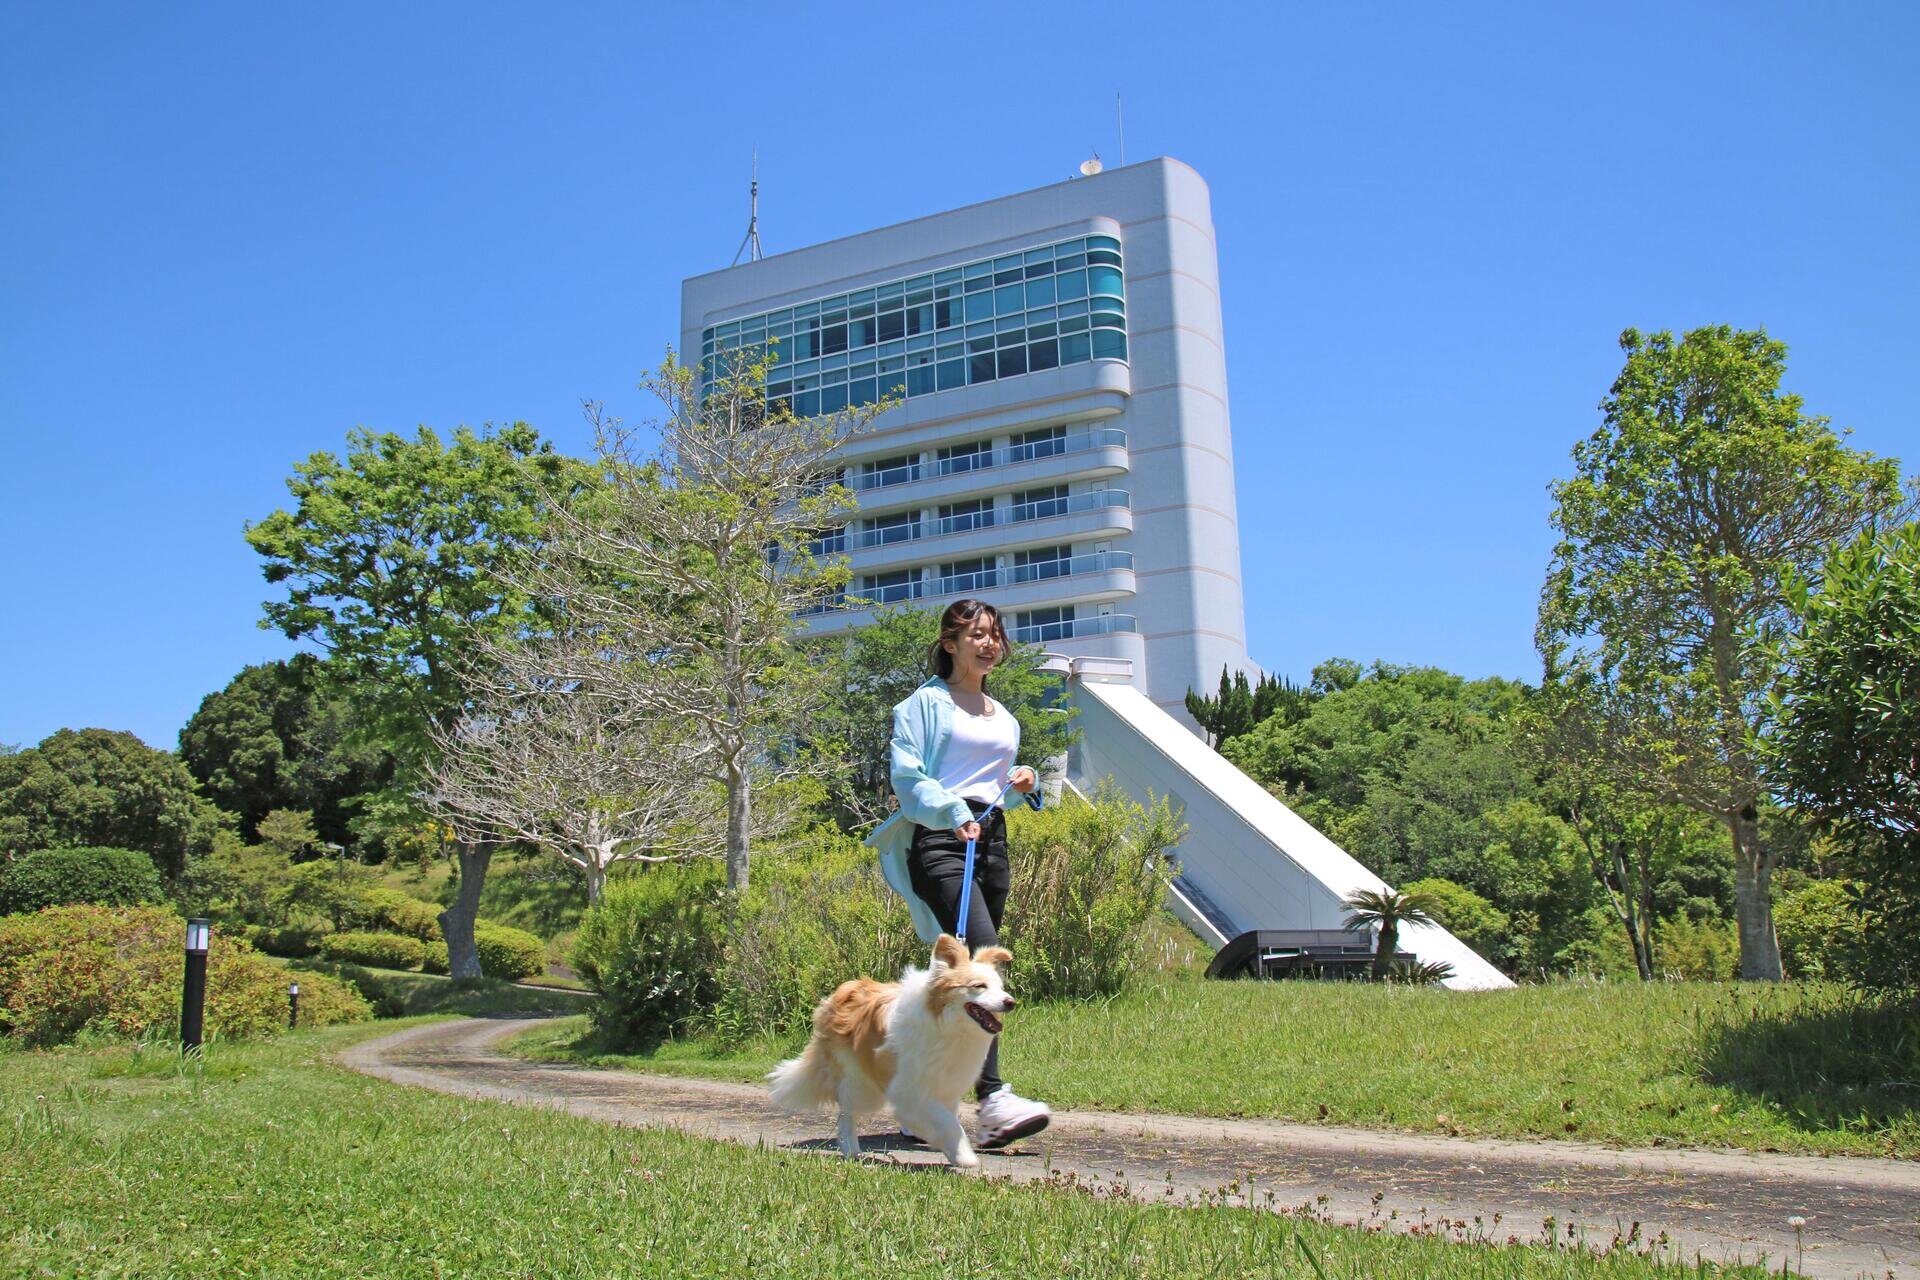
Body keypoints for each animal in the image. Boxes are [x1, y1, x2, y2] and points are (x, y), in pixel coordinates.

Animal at [768, 932, 1021, 1174]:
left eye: (1000, 987)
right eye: (979, 986)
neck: (949, 1026)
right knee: (846, 1114)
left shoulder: (946, 1088)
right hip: (860, 1082)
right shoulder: (910, 1090)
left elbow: (947, 1120)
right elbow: (947, 1122)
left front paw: (954, 1153)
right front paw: (965, 1156)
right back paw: (851, 1151)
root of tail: (837, 996)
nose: (1011, 1002)